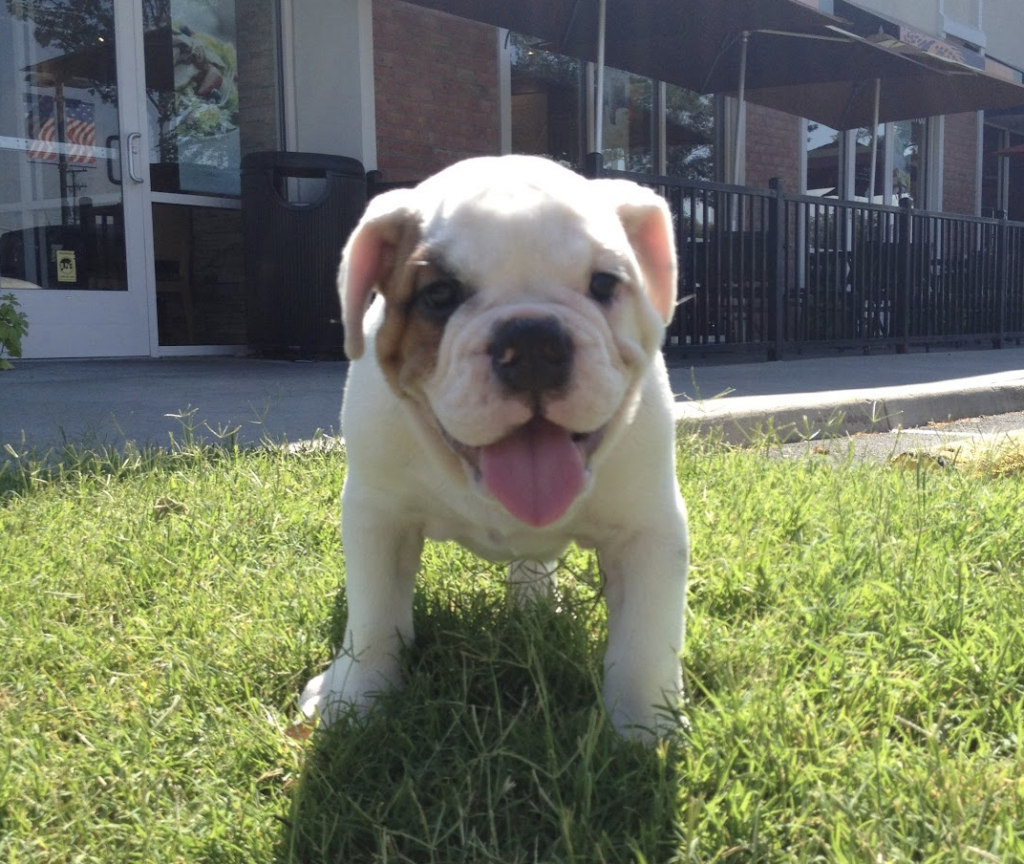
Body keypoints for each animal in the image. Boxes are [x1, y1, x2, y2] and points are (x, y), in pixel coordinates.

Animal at [299, 156, 692, 741]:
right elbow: (374, 618)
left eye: (604, 283)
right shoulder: (378, 517)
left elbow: (646, 638)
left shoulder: (648, 531)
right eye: (439, 295)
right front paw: (352, 699)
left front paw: (645, 730)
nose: (532, 341)